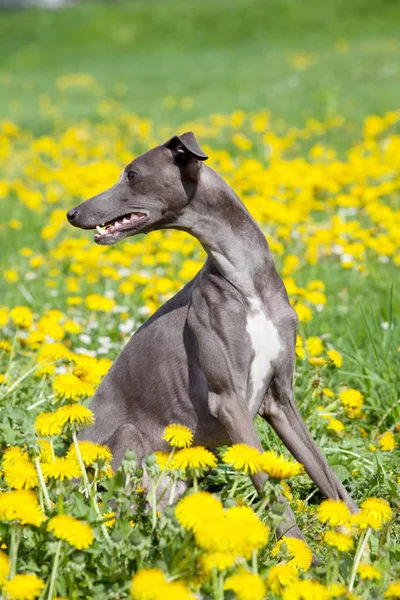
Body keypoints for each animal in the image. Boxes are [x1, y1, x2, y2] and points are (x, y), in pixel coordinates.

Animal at [66, 134, 356, 540]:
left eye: (132, 174)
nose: (72, 213)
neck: (246, 281)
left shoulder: (280, 400)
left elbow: (327, 476)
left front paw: (361, 533)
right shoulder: (229, 402)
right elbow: (275, 496)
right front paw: (301, 553)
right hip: (126, 440)